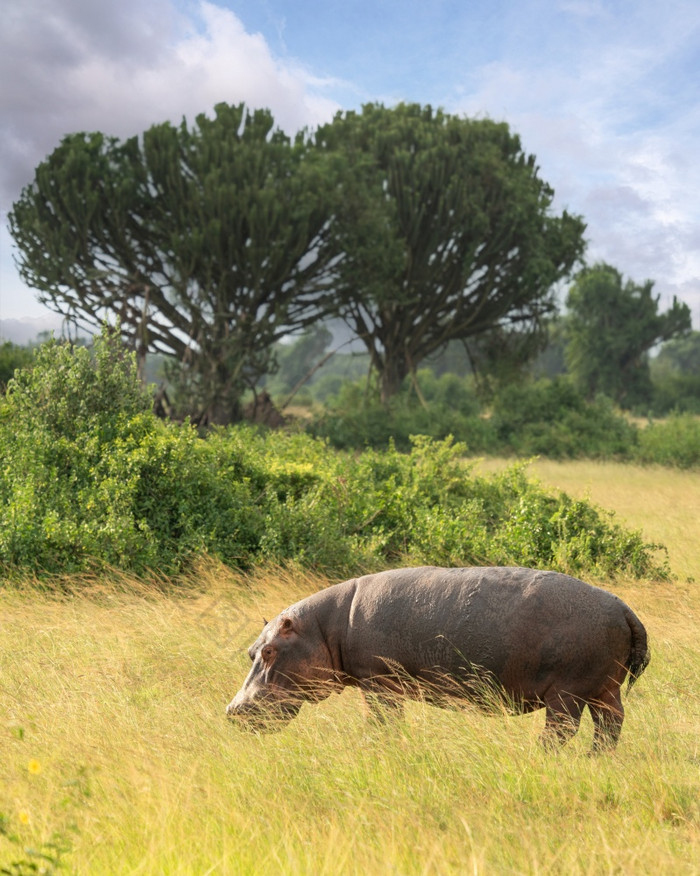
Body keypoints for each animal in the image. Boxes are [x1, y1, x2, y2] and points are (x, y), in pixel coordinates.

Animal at [226, 568, 652, 752]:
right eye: (250, 650)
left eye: (269, 651)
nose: (232, 711)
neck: (323, 626)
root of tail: (625, 609)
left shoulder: (378, 681)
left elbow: (381, 722)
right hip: (603, 689)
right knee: (610, 725)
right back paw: (598, 759)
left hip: (567, 693)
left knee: (561, 731)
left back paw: (540, 756)